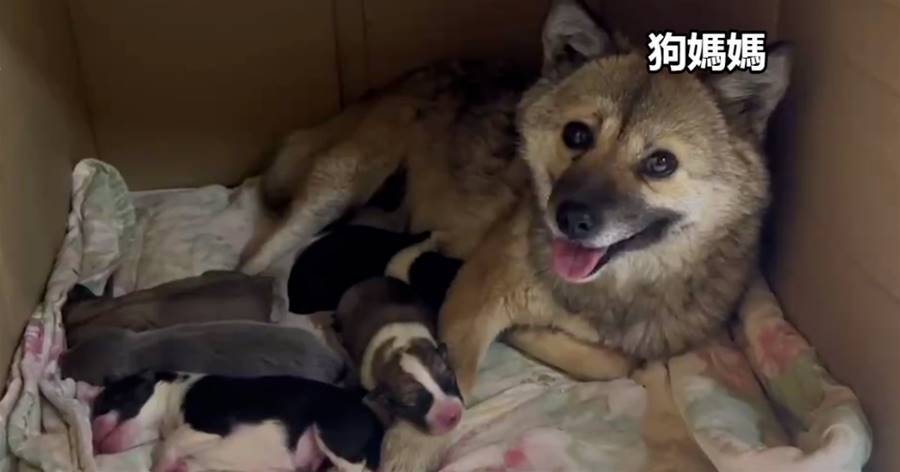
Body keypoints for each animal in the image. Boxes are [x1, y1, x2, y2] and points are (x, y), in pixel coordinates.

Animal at [241, 1, 791, 469]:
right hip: (339, 184)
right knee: (260, 257)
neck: (610, 288)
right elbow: (449, 385)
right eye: (576, 135)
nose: (571, 217)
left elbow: (625, 366)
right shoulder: (474, 297)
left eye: (661, 163)